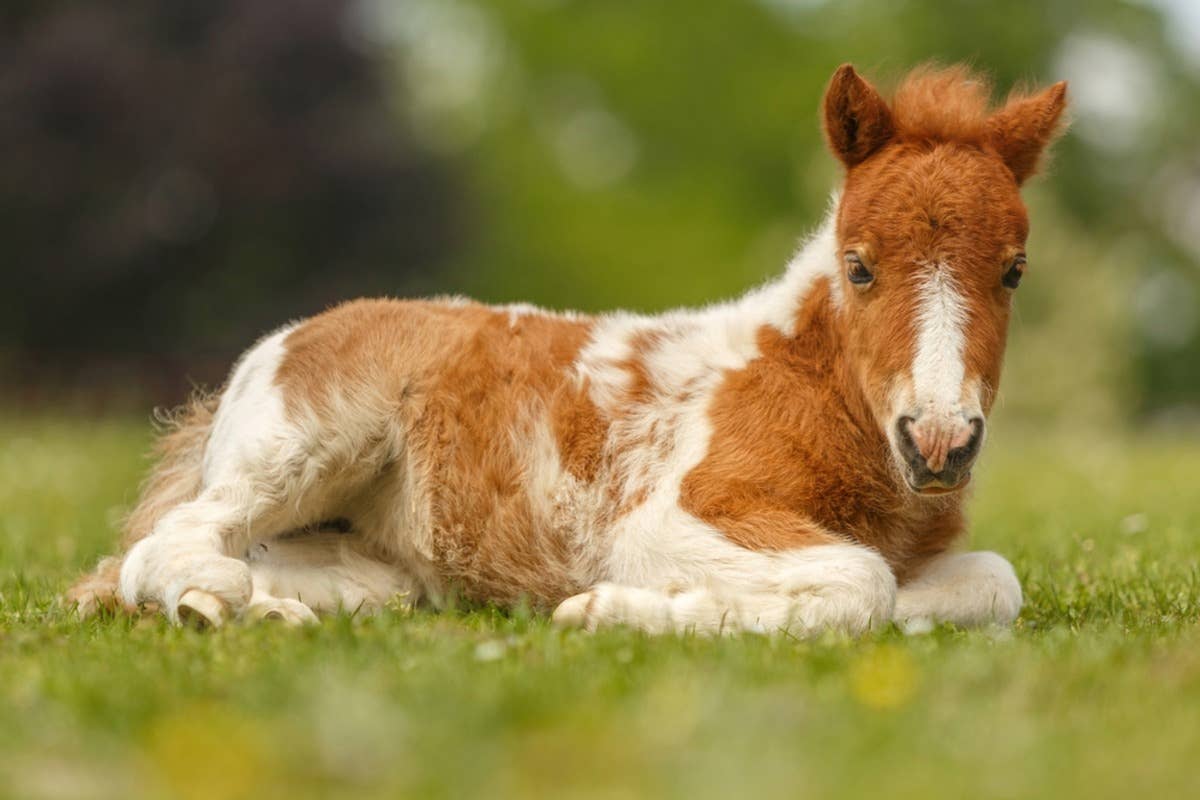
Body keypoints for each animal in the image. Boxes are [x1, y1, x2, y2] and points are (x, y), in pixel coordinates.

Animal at [67, 63, 1068, 635]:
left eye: (1015, 270)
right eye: (859, 266)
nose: (938, 443)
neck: (821, 389)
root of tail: (271, 351)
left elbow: (985, 585)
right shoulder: (673, 519)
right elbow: (863, 582)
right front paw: (617, 611)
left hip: (371, 560)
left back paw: (267, 609)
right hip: (302, 448)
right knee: (168, 544)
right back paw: (211, 604)